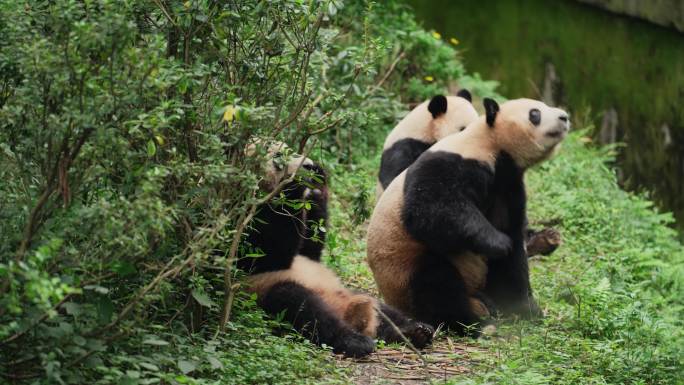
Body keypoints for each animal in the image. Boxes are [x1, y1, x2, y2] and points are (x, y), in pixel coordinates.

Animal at [240, 140, 432, 356]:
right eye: (278, 156)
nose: (308, 164)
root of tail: (348, 314)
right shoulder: (247, 214)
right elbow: (265, 255)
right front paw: (295, 185)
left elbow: (309, 248)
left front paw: (316, 188)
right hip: (266, 292)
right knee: (301, 306)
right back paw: (354, 341)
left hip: (348, 291)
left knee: (384, 311)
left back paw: (413, 330)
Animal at [366, 98, 568, 332]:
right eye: (535, 113)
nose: (564, 117)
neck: (491, 146)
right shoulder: (452, 163)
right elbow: (430, 209)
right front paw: (498, 243)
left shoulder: (506, 186)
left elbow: (514, 252)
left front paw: (525, 309)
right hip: (404, 267)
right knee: (436, 282)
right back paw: (472, 322)